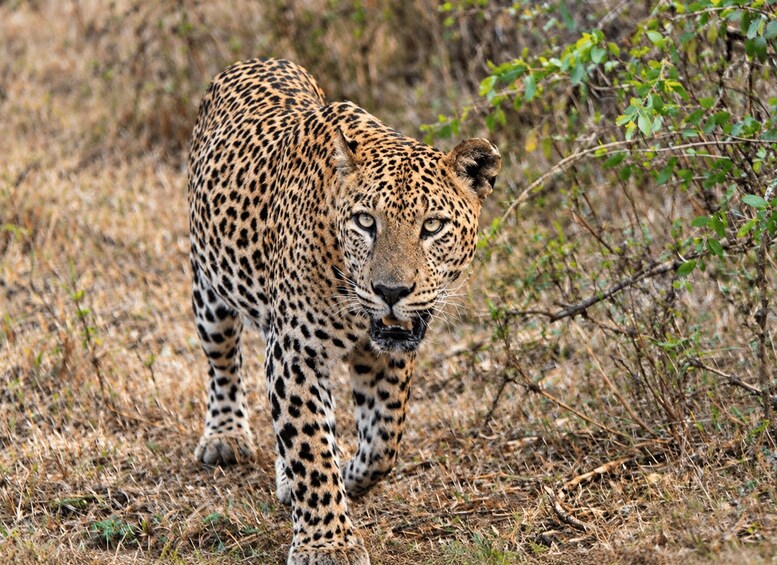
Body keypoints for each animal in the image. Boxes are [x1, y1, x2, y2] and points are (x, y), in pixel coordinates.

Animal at [187, 57, 501, 565]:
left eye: (433, 226)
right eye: (365, 222)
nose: (391, 290)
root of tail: (257, 59)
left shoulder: (387, 352)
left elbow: (383, 439)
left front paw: (348, 475)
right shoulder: (294, 352)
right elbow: (310, 448)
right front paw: (327, 542)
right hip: (209, 288)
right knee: (222, 363)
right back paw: (225, 437)